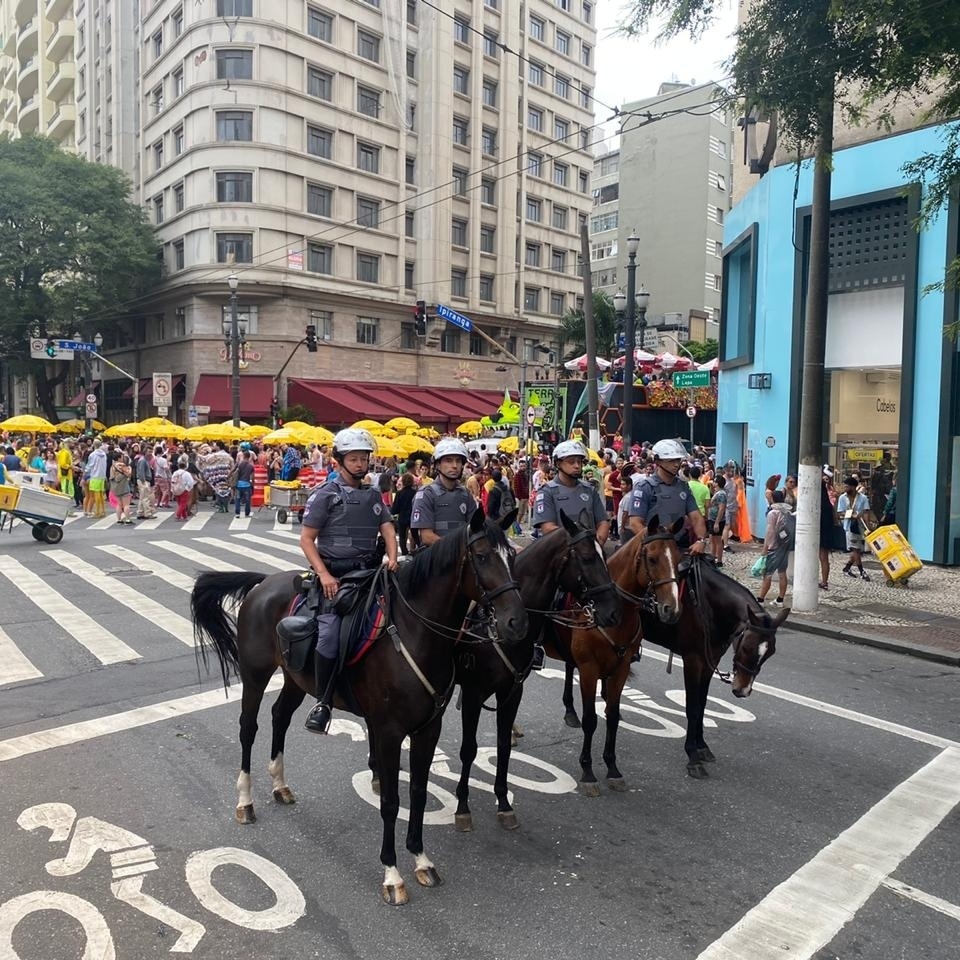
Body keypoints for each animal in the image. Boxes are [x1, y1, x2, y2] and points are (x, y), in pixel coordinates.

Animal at [191, 510, 528, 908]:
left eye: (513, 556)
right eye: (482, 557)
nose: (517, 622)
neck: (416, 633)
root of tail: (264, 582)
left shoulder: (428, 728)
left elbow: (417, 792)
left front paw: (421, 859)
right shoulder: (388, 732)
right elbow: (391, 802)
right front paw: (392, 874)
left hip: (296, 679)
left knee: (280, 717)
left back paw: (280, 783)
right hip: (255, 675)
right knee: (248, 728)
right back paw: (245, 801)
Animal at [452, 510, 624, 832]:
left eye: (605, 556)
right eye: (586, 558)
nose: (613, 612)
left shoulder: (512, 691)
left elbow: (502, 746)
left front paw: (503, 802)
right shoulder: (472, 693)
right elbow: (469, 748)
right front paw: (462, 806)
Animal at [544, 516, 688, 796]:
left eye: (678, 559)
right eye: (652, 558)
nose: (672, 609)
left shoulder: (620, 670)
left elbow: (611, 716)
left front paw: (612, 768)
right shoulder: (589, 670)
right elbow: (591, 719)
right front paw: (588, 771)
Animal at [564, 552, 788, 776]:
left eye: (770, 653)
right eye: (747, 647)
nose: (742, 690)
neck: (707, 604)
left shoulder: (710, 662)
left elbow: (703, 704)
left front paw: (701, 745)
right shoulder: (692, 661)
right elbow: (693, 707)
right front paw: (692, 754)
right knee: (570, 664)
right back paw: (571, 711)